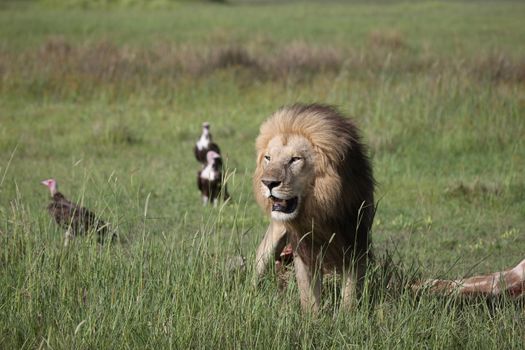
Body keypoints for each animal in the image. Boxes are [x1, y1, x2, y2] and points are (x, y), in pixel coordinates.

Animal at [253, 104, 372, 312]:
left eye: (295, 159)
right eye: (268, 158)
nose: (268, 183)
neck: (320, 210)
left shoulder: (355, 240)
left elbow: (350, 292)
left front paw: (347, 316)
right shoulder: (304, 246)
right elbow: (308, 294)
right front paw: (313, 318)